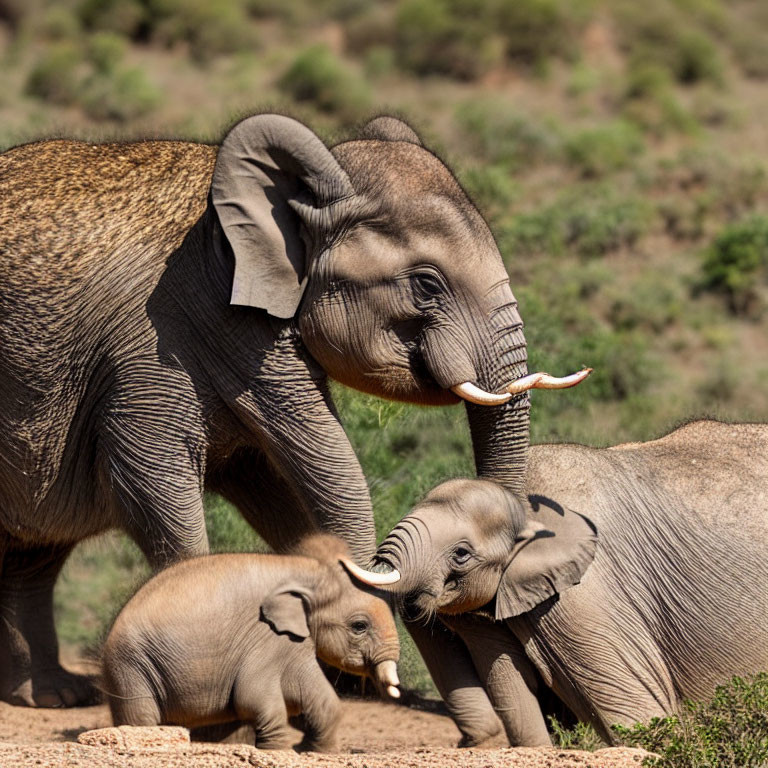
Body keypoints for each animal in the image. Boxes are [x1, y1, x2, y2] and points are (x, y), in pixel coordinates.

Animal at [0, 111, 588, 716]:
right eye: (426, 283)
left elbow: (285, 472)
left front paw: (338, 676)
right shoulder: (158, 342)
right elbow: (157, 475)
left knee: (36, 551)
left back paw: (52, 697)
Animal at [102, 536, 402, 752]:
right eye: (359, 626)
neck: (306, 569)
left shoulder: (292, 640)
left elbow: (322, 699)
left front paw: (311, 751)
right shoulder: (267, 638)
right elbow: (251, 696)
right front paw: (277, 750)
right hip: (131, 666)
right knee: (141, 719)